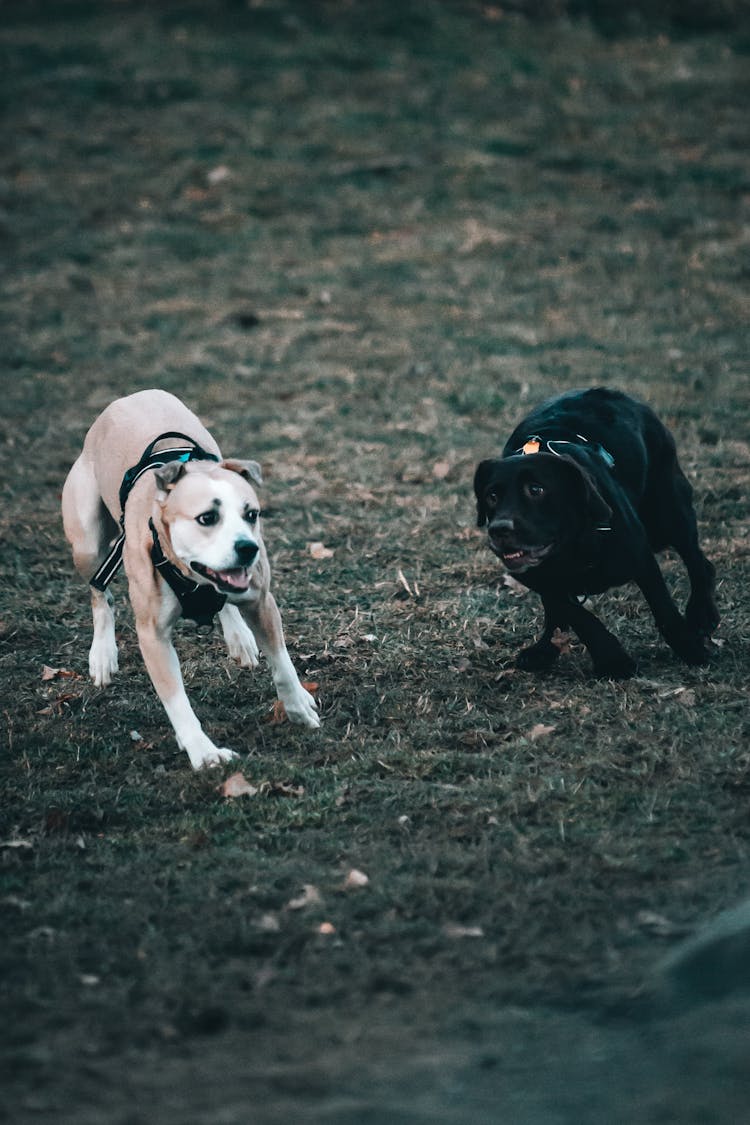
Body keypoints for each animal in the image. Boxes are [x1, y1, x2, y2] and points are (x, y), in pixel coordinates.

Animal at [62, 384, 319, 765]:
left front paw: (298, 706)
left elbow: (283, 664)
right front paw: (203, 752)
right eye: (207, 518)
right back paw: (103, 654)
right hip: (88, 545)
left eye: (252, 514)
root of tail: (131, 397)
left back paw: (239, 637)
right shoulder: (152, 635)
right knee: (99, 593)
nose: (248, 548)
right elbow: (176, 700)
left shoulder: (261, 601)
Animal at [474, 391, 719, 675]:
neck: (571, 547)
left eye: (536, 489)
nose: (499, 529)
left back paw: (702, 614)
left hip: (668, 512)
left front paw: (690, 649)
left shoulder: (640, 556)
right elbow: (576, 614)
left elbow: (664, 609)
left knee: (696, 559)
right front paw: (613, 660)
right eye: (491, 496)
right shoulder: (537, 578)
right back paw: (544, 649)